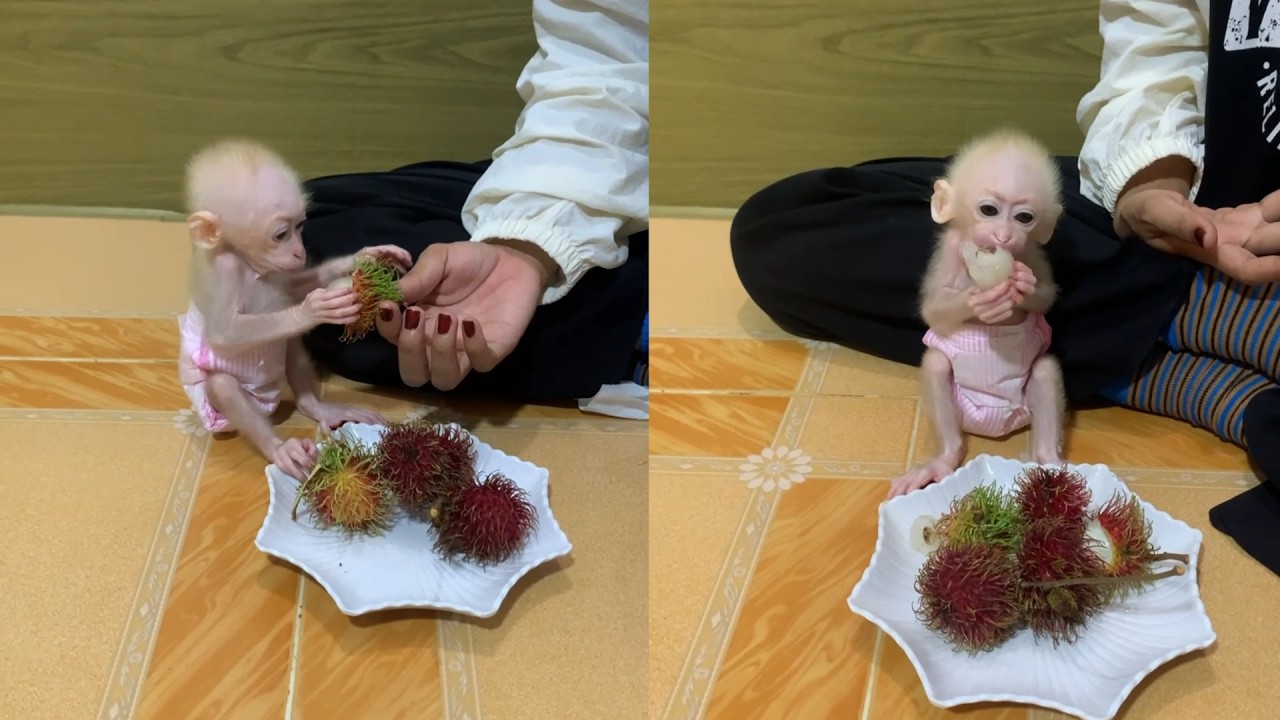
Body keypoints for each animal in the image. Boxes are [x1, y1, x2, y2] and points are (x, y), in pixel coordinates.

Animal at [177, 139, 413, 479]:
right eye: (280, 235)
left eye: (300, 226)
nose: (299, 251)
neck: (250, 263)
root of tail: (270, 403)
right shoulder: (221, 271)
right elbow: (224, 331)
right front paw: (311, 310)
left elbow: (294, 287)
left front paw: (366, 257)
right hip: (214, 409)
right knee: (222, 385)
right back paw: (279, 449)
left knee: (289, 344)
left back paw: (317, 407)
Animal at [886, 129, 1066, 499]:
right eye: (989, 210)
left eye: (1024, 217)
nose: (1004, 235)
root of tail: (993, 427)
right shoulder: (950, 250)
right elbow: (932, 308)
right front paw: (977, 301)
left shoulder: (1030, 251)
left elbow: (1045, 295)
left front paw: (1025, 286)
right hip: (961, 409)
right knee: (937, 365)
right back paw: (942, 460)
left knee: (1044, 370)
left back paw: (1048, 460)